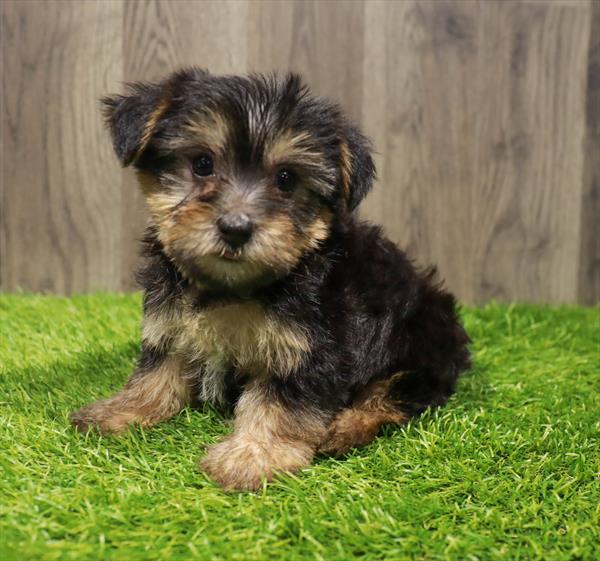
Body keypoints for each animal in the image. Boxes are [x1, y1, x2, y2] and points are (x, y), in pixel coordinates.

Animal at [70, 69, 472, 490]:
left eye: (286, 179)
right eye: (202, 163)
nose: (236, 228)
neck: (234, 287)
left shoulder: (308, 347)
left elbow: (278, 402)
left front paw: (252, 456)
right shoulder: (170, 321)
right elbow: (157, 369)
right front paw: (122, 409)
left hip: (420, 339)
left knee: (396, 392)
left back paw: (346, 427)